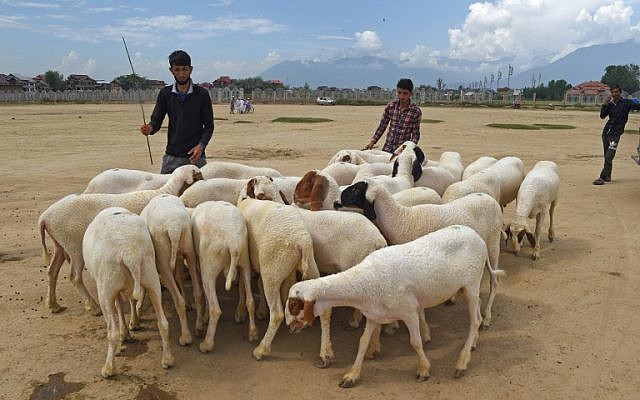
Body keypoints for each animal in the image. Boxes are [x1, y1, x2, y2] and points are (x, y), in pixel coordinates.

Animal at [38, 164, 202, 314]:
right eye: (197, 174)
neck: (165, 191)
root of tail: (45, 217)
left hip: (60, 243)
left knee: (52, 271)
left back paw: (53, 305)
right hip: (74, 245)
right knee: (75, 277)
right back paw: (93, 306)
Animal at [82, 206, 175, 378]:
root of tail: (129, 251)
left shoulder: (113, 288)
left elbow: (119, 306)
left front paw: (125, 332)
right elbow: (129, 302)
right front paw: (132, 324)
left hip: (106, 286)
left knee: (111, 332)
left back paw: (108, 369)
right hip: (150, 276)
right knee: (163, 323)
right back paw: (167, 360)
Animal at [141, 194, 205, 344]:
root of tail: (174, 227)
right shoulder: (180, 256)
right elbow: (180, 277)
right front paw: (189, 304)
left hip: (162, 249)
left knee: (177, 298)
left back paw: (185, 337)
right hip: (187, 242)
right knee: (198, 291)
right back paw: (199, 328)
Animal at [190, 202, 258, 352]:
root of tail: (234, 244)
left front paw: (204, 320)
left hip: (210, 260)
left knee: (215, 308)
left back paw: (206, 344)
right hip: (245, 258)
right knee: (250, 301)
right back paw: (253, 333)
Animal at [288, 225, 508, 388]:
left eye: (294, 305)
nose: (290, 328)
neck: (365, 282)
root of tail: (476, 236)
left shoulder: (409, 311)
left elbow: (415, 343)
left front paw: (423, 369)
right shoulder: (374, 315)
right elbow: (362, 342)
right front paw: (352, 375)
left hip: (471, 283)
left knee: (475, 320)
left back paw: (462, 362)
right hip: (468, 287)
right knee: (477, 312)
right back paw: (473, 343)